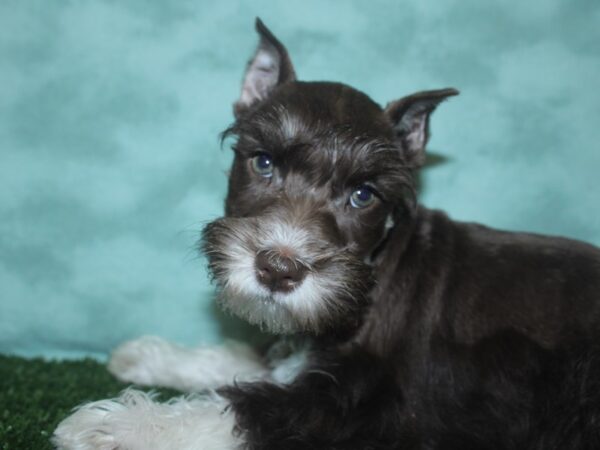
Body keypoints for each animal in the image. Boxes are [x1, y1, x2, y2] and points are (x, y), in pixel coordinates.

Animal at [52, 18, 600, 450]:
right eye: (263, 162)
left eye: (363, 195)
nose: (278, 269)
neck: (378, 273)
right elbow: (250, 357)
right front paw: (151, 356)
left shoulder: (360, 408)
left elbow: (240, 408)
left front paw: (116, 425)